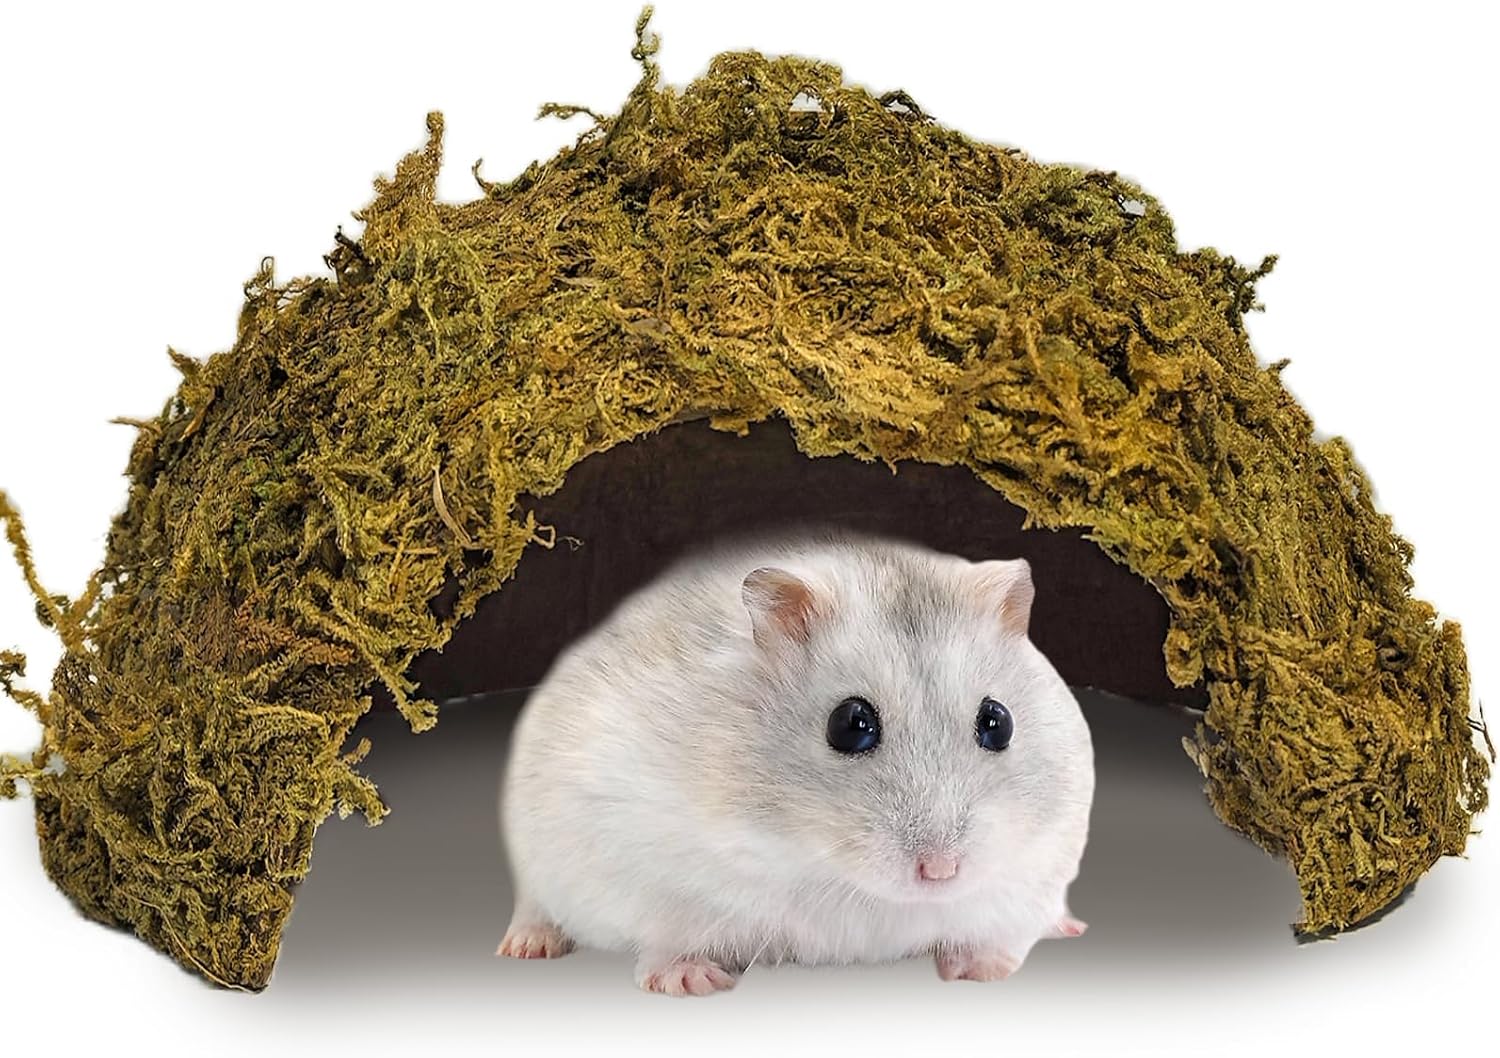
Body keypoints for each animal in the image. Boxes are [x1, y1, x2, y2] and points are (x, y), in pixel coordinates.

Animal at [498, 527, 1094, 996]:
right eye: (850, 725)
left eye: (998, 722)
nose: (941, 872)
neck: (824, 864)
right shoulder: (648, 867)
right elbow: (670, 937)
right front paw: (694, 982)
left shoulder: (1036, 869)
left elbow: (1000, 932)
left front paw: (979, 971)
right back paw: (526, 947)